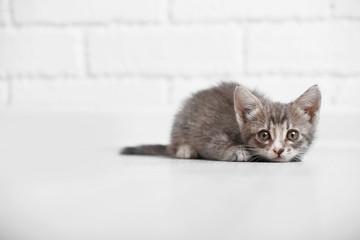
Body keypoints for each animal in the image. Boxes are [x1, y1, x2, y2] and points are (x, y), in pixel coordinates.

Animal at [121, 81, 320, 162]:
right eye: (264, 135)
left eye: (292, 135)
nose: (278, 150)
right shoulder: (208, 133)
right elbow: (213, 145)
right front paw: (238, 151)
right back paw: (185, 150)